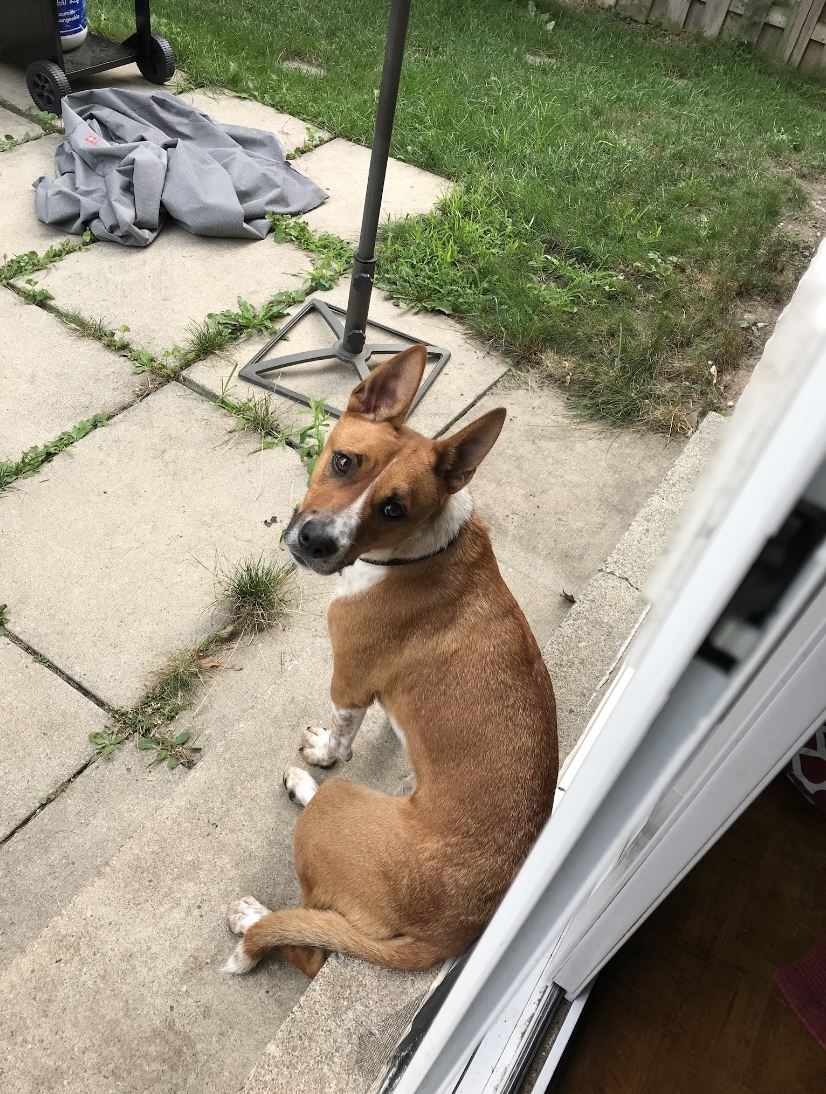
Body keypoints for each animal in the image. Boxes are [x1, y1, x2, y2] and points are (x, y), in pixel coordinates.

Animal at [223, 344, 558, 978]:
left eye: (393, 508)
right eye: (344, 461)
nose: (316, 542)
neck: (417, 551)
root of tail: (452, 934)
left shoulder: (348, 681)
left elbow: (343, 737)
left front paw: (325, 752)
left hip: (341, 807)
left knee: (312, 947)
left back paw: (257, 911)